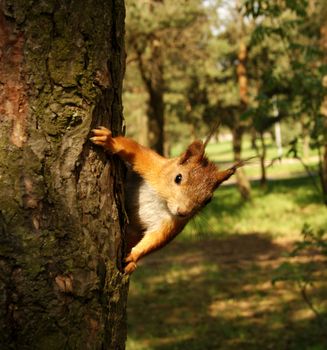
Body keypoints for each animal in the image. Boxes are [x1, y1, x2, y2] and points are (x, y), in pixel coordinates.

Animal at [90, 126, 249, 274]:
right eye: (178, 178)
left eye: (208, 200)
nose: (183, 212)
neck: (162, 201)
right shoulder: (153, 166)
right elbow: (133, 149)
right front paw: (109, 141)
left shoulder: (172, 223)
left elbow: (157, 239)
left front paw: (133, 258)